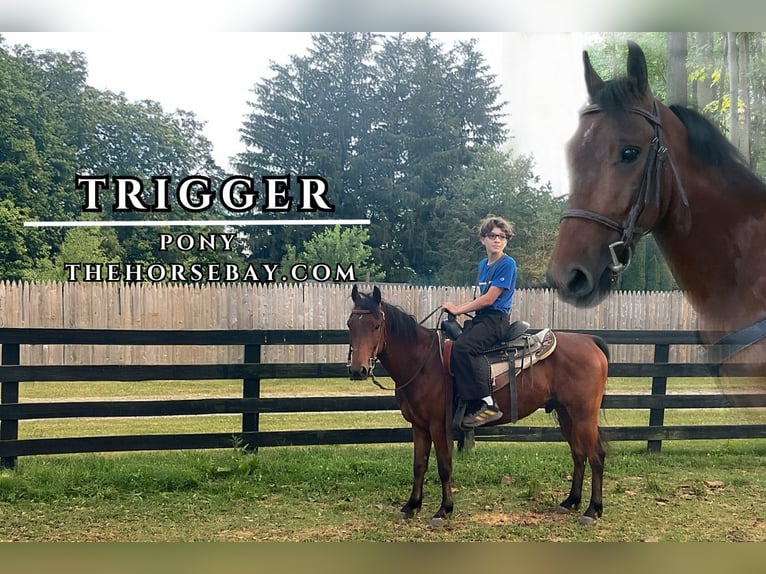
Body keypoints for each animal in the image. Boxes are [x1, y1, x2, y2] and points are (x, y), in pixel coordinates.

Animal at [347, 284, 610, 526]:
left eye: (376, 326)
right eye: (350, 325)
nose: (358, 370)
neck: (423, 363)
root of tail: (590, 340)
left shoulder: (438, 425)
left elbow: (444, 465)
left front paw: (444, 510)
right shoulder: (418, 426)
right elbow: (419, 465)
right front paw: (411, 506)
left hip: (584, 415)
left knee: (596, 455)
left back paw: (592, 510)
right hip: (566, 414)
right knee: (578, 454)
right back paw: (570, 502)